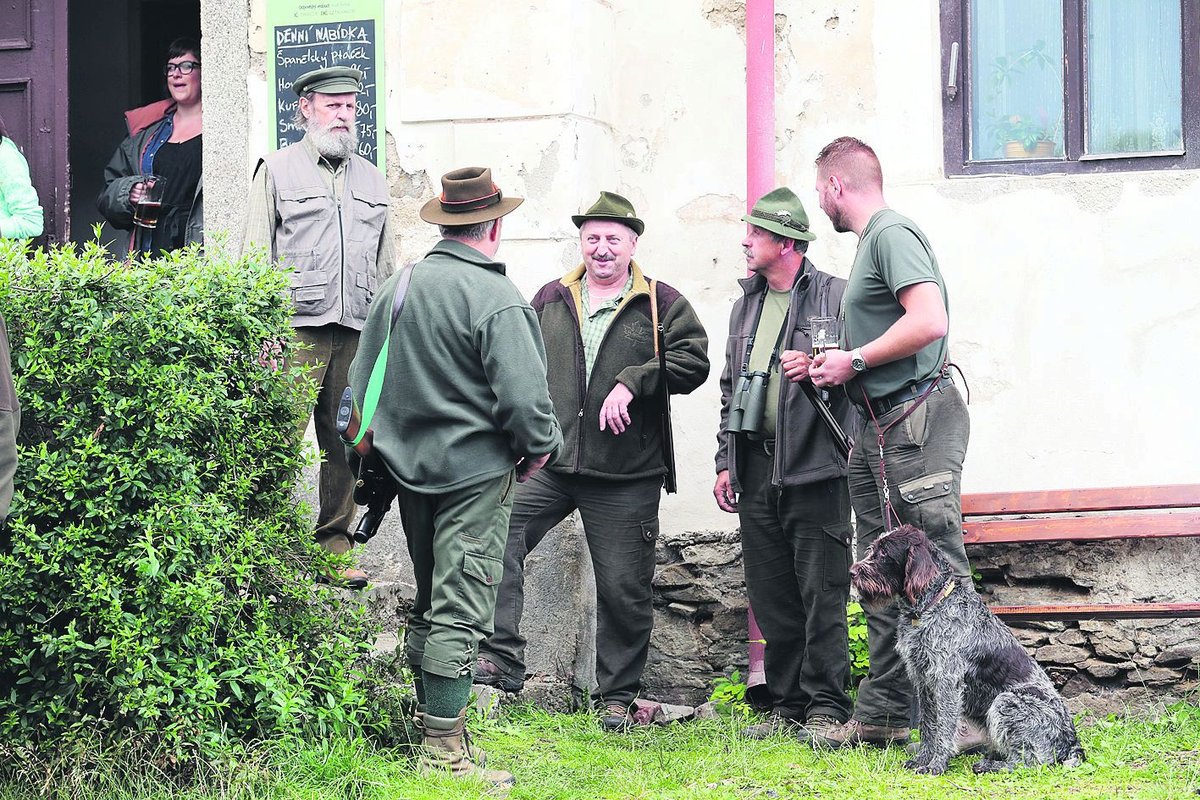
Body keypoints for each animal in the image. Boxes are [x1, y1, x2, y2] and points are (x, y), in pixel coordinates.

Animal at [854, 525, 1089, 777]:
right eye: (873, 549)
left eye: (884, 553)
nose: (852, 572)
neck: (932, 606)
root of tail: (1071, 741)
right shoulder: (924, 681)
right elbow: (928, 726)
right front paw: (921, 760)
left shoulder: (947, 681)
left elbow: (944, 729)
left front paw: (936, 765)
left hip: (1006, 702)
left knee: (1029, 763)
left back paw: (990, 765)